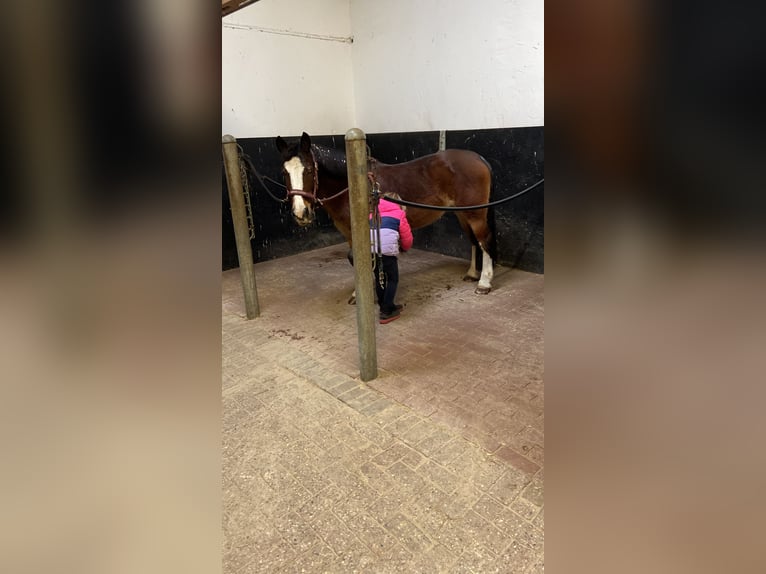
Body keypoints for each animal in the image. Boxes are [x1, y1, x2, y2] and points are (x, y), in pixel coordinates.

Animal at [276, 132, 498, 294]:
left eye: (309, 170)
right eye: (284, 172)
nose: (301, 213)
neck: (352, 187)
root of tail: (478, 158)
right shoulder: (351, 235)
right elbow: (356, 259)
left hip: (476, 214)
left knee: (483, 239)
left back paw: (484, 283)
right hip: (463, 213)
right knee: (473, 240)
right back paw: (472, 273)